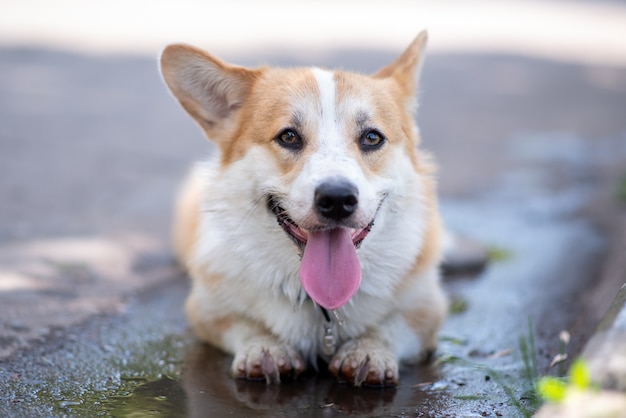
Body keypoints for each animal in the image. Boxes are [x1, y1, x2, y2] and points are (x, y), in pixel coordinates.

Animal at [158, 31, 446, 386]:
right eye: (289, 136)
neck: (321, 305)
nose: (337, 199)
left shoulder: (426, 311)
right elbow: (245, 324)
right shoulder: (208, 310)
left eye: (372, 137)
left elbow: (389, 326)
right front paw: (264, 349)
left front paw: (368, 352)